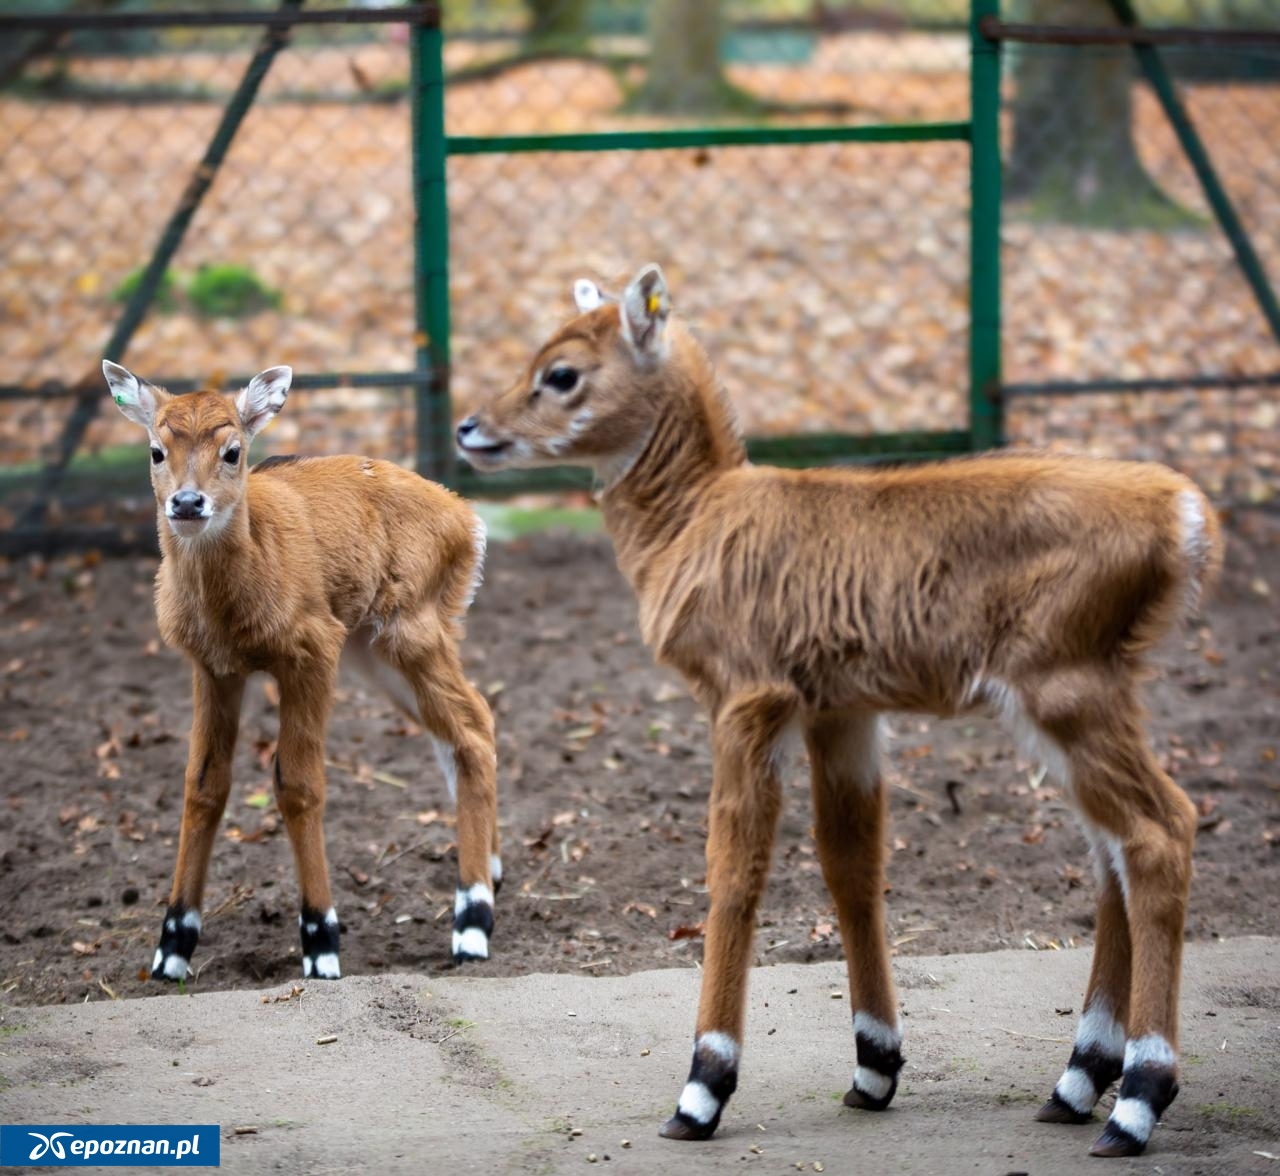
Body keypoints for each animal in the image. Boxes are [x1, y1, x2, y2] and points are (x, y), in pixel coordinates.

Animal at [103, 360, 499, 982]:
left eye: (233, 450)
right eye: (156, 450)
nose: (188, 504)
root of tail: (468, 519)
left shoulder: (311, 653)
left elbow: (298, 784)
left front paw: (321, 943)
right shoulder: (215, 668)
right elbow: (203, 785)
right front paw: (171, 947)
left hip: (409, 630)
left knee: (474, 728)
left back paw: (472, 924)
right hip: (373, 650)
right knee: (463, 726)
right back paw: (491, 877)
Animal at [455, 264, 1223, 1156]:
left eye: (563, 372)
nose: (471, 428)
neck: (695, 520)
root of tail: (1186, 513)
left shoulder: (749, 697)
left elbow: (734, 869)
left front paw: (702, 1089)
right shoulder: (842, 713)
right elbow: (850, 864)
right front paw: (874, 1068)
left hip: (1066, 688)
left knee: (1161, 831)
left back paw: (1137, 1101)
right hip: (1080, 702)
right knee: (1114, 853)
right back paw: (1073, 1085)